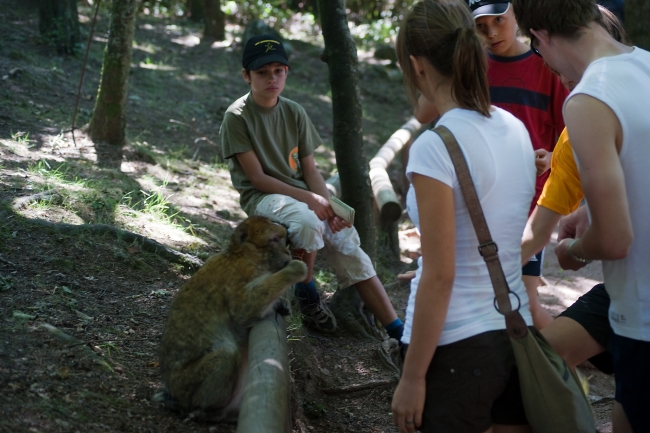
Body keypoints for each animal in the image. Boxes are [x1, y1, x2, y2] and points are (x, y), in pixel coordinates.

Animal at [158, 216, 308, 418]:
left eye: (283, 239)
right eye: (275, 239)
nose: (287, 253)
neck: (244, 256)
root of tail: (173, 393)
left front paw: (280, 303)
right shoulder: (240, 274)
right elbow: (243, 312)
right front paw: (295, 269)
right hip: (185, 385)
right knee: (226, 353)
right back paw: (204, 411)